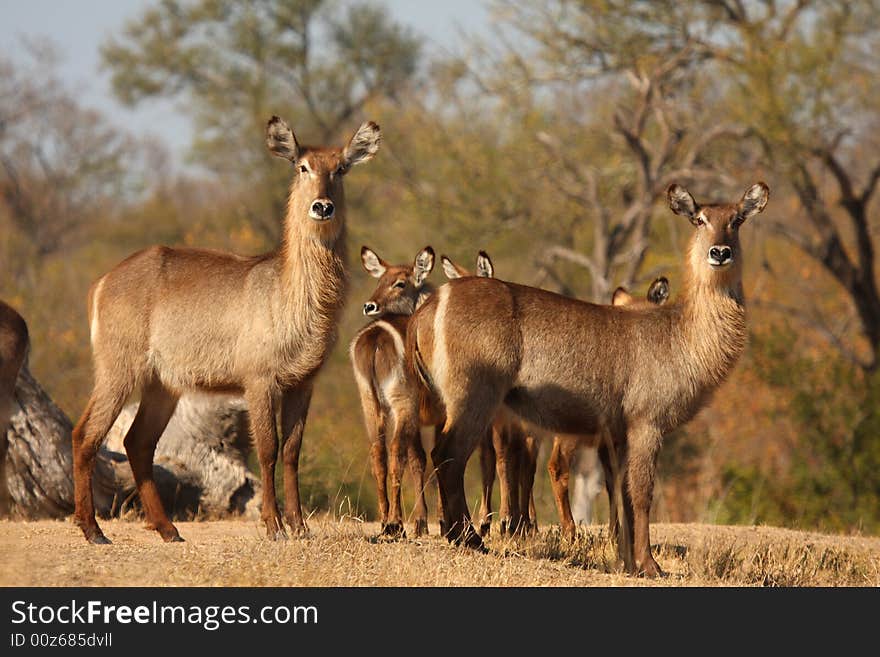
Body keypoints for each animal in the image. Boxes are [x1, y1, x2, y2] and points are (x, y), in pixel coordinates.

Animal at [70, 116, 380, 544]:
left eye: (341, 168)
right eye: (302, 167)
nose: (322, 206)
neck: (292, 294)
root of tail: (101, 283)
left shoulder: (303, 382)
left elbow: (292, 451)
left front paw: (300, 527)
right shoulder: (259, 380)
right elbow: (268, 448)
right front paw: (273, 525)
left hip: (163, 384)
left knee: (137, 442)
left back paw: (169, 530)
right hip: (117, 370)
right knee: (86, 434)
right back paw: (93, 529)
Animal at [348, 243, 434, 536]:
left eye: (399, 283)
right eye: (379, 280)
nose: (369, 305)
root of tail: (375, 337)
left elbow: (419, 459)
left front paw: (421, 521)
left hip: (369, 402)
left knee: (378, 452)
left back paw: (386, 518)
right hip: (401, 401)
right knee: (397, 452)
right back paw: (395, 523)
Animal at [408, 181, 768, 576]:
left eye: (736, 220)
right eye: (700, 219)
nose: (720, 252)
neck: (681, 335)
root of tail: (430, 306)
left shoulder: (617, 432)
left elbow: (622, 492)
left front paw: (628, 561)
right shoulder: (646, 422)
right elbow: (642, 493)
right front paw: (650, 565)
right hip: (475, 395)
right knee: (449, 454)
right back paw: (468, 538)